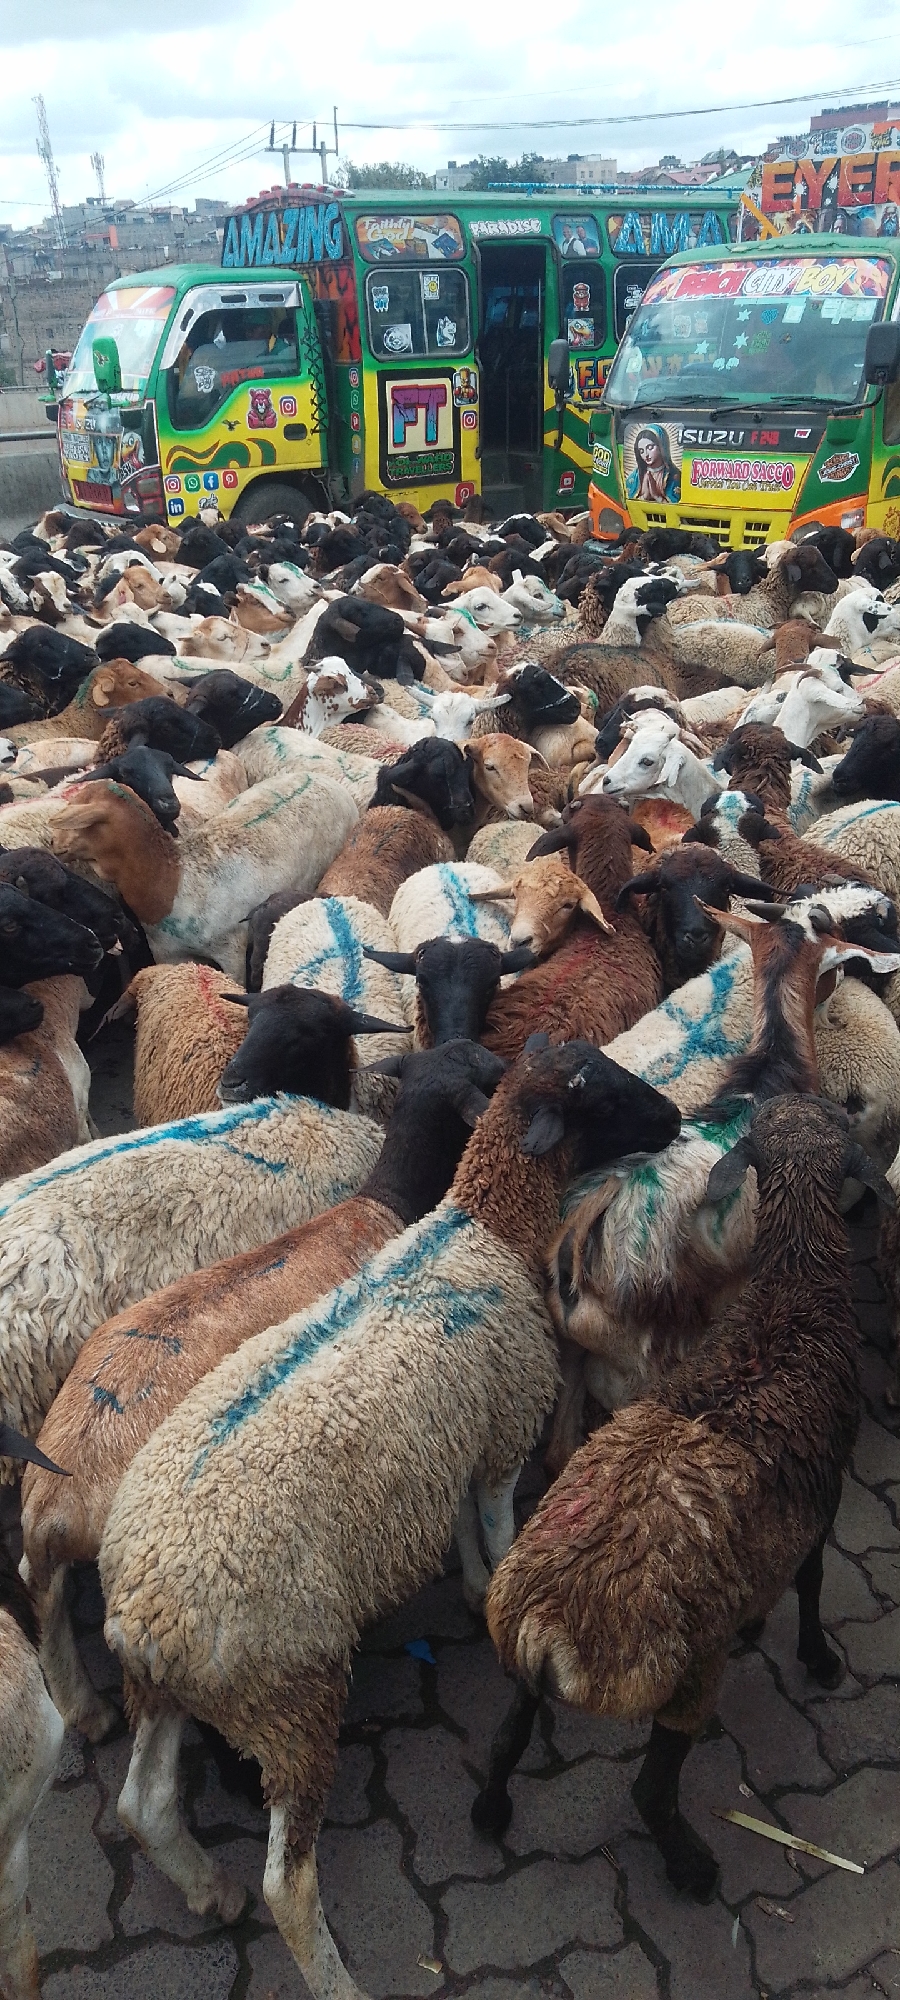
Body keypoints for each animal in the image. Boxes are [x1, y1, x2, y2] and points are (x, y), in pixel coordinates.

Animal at [48, 770, 358, 982]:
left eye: (81, 819)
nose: (53, 844)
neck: (171, 880)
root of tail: (329, 781)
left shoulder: (231, 950)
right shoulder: (167, 953)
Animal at [98, 1040, 681, 1976]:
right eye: (602, 1096)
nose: (676, 1119)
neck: (480, 1227)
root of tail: (147, 1612)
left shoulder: (455, 1440)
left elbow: (465, 1528)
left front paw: (475, 1584)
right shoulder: (505, 1428)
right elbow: (497, 1526)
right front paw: (492, 1590)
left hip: (165, 1690)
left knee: (142, 1804)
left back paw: (208, 1890)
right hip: (290, 1696)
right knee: (288, 1884)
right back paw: (332, 1974)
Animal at [478, 1095, 889, 1906]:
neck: (790, 1298)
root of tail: (544, 1626)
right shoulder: (825, 1489)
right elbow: (812, 1578)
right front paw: (815, 1657)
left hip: (525, 1667)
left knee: (508, 1732)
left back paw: (491, 1810)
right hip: (685, 1673)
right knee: (650, 1790)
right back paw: (692, 1867)